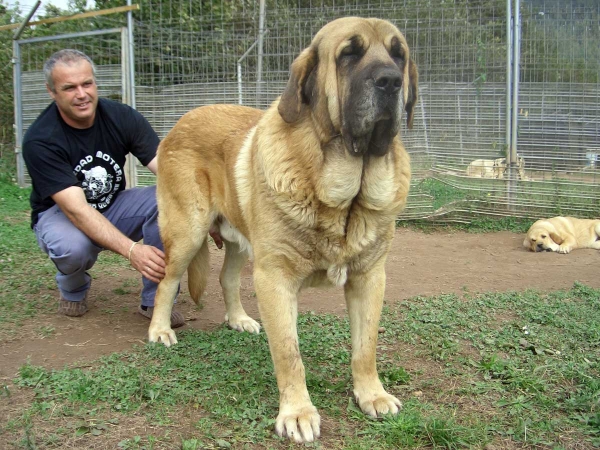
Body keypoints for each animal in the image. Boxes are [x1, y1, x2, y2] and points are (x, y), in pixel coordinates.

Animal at [148, 16, 418, 442]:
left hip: (239, 240)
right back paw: (159, 330)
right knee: (167, 281)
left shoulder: (369, 277)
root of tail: (182, 120)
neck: (345, 199)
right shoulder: (275, 278)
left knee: (226, 278)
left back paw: (238, 319)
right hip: (187, 232)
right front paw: (297, 412)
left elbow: (366, 347)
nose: (391, 81)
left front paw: (371, 394)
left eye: (399, 54)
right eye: (348, 54)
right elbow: (289, 354)